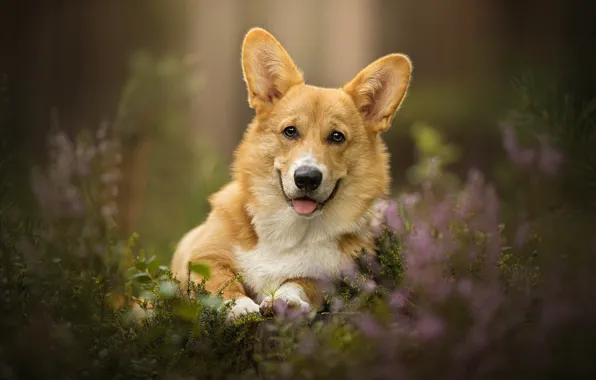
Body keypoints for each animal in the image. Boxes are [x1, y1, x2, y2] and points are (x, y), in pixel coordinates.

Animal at [170, 27, 412, 320]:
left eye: (337, 137)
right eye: (290, 131)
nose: (307, 178)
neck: (289, 230)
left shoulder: (326, 279)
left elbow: (299, 282)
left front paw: (286, 300)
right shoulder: (201, 258)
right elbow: (221, 281)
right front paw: (239, 306)